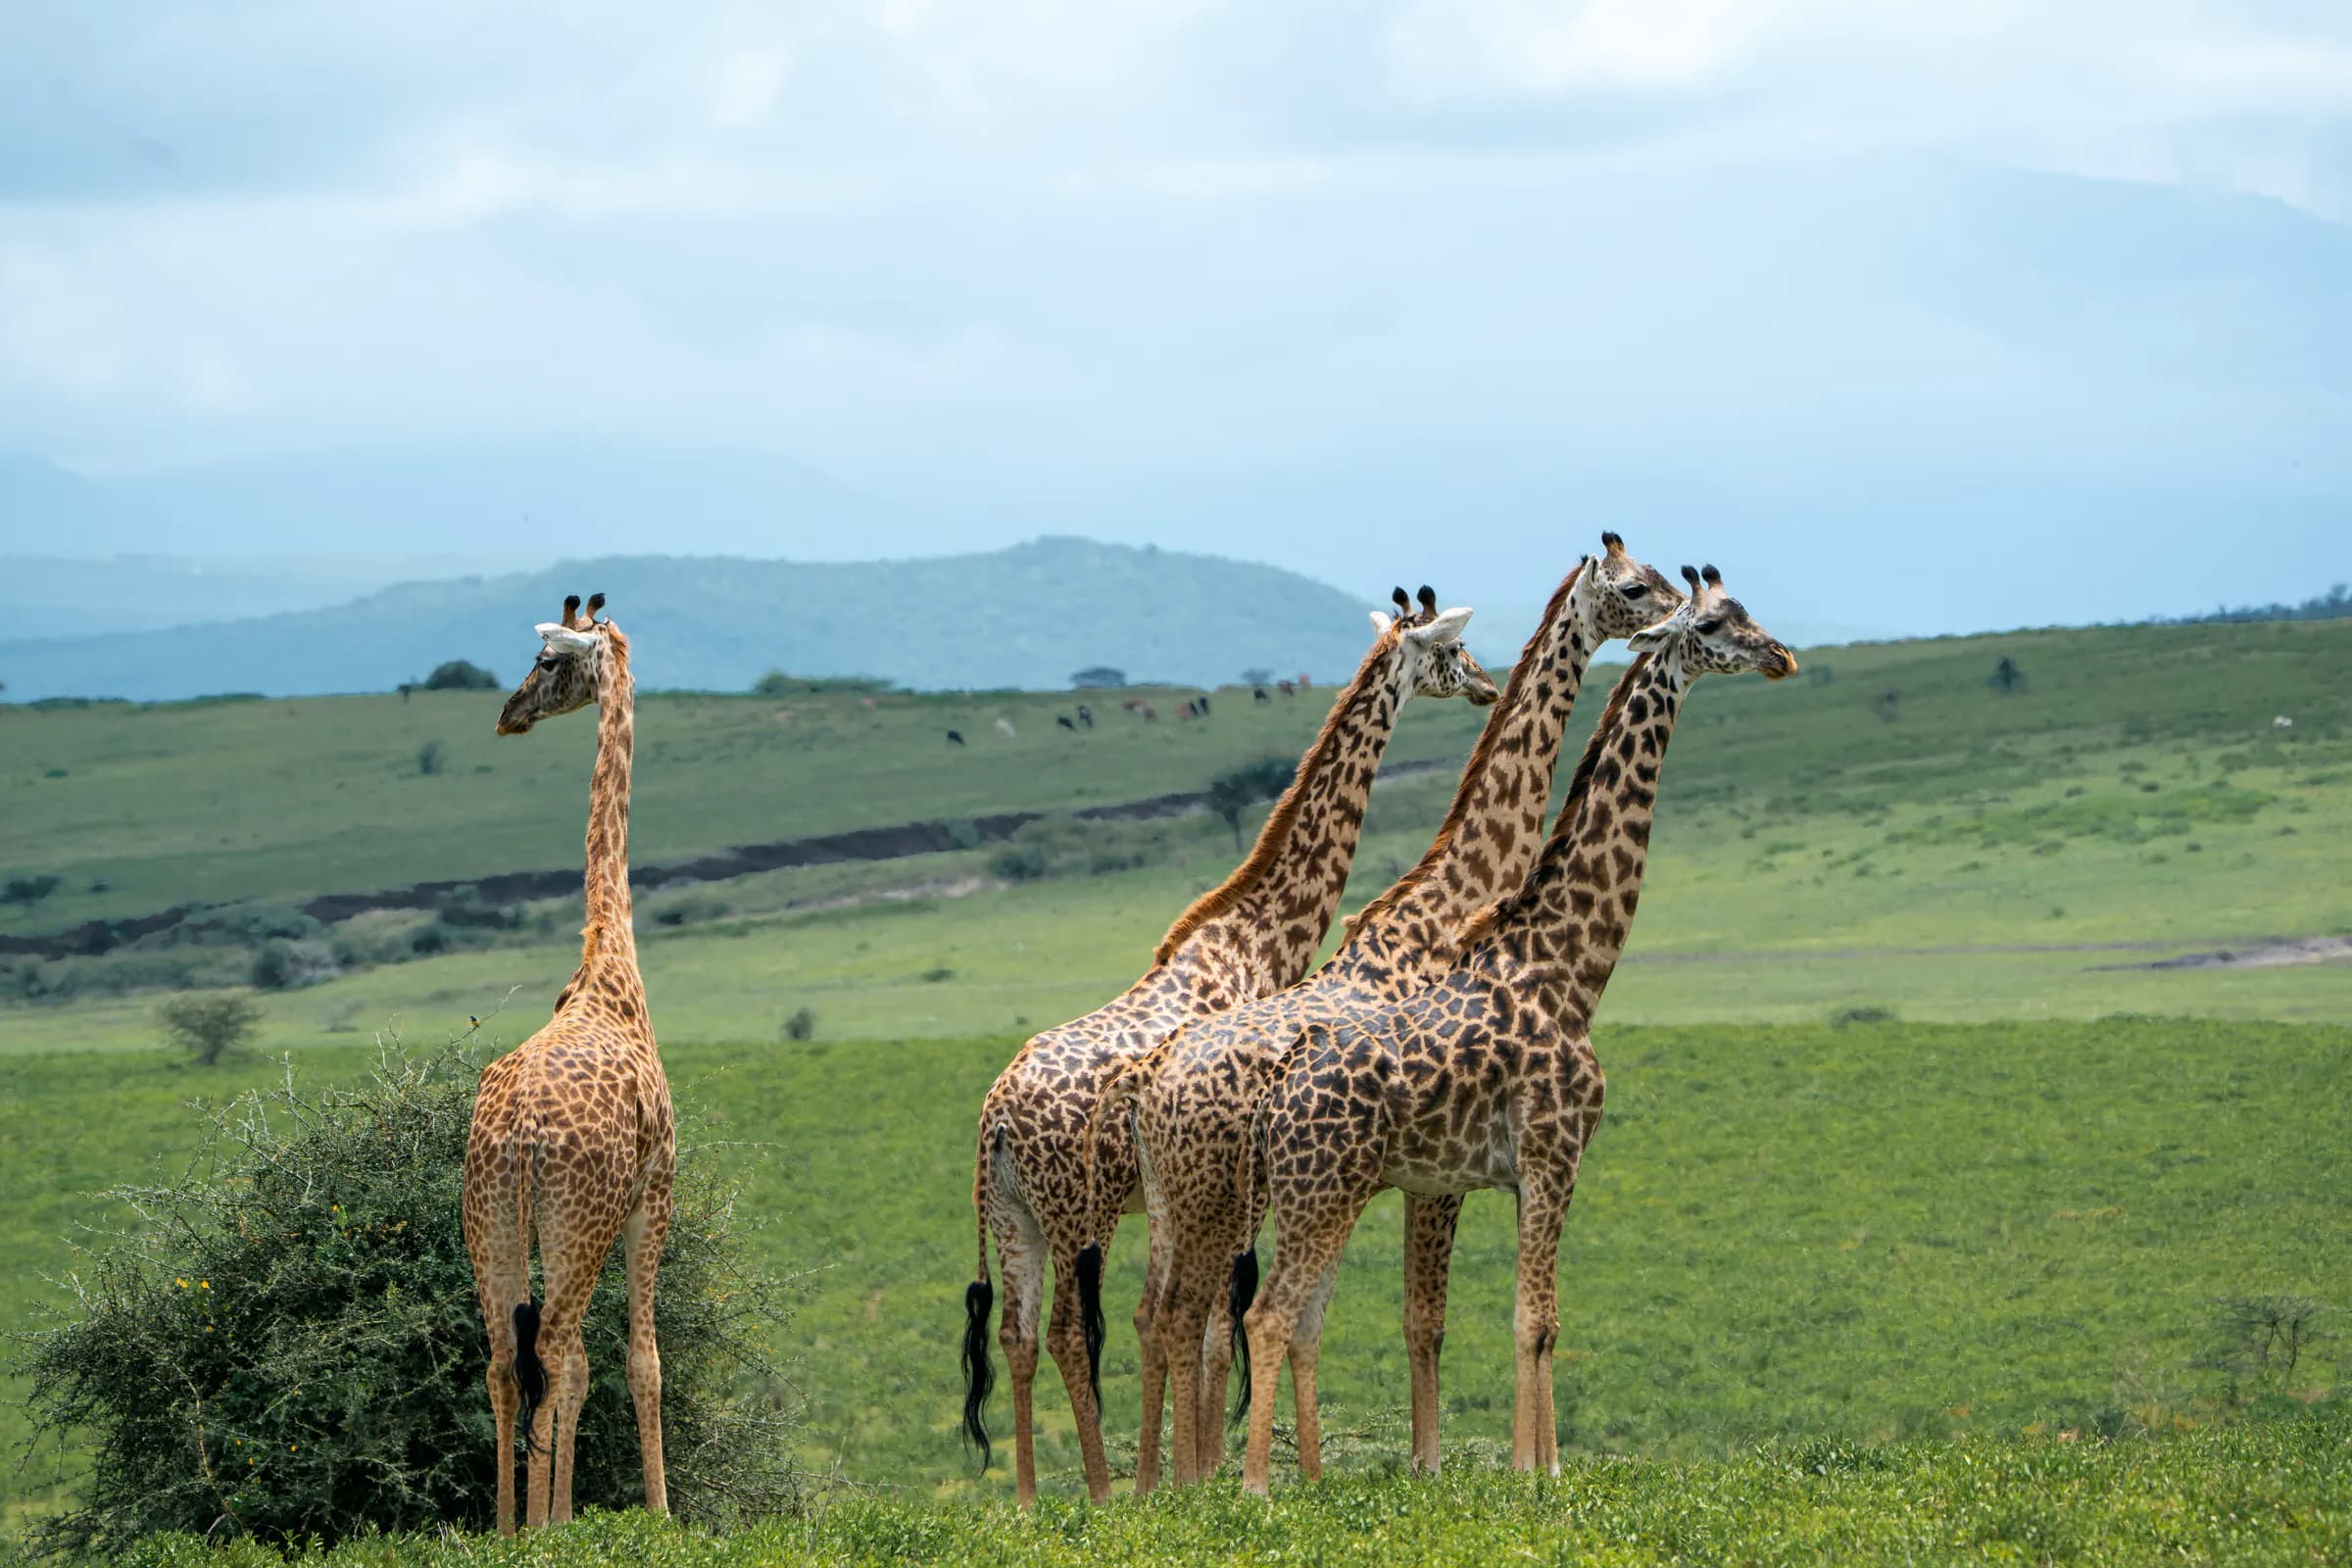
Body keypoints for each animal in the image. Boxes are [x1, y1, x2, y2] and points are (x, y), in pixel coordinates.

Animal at [961, 589, 1499, 1505]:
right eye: (1453, 649)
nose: (1488, 688)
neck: (1258, 936)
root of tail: (996, 1117)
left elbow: (1194, 1319)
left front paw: (1193, 1473)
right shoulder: (1232, 1176)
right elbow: (1216, 1323)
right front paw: (1206, 1477)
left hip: (1014, 1211)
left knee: (1019, 1335)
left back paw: (1031, 1503)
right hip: (1073, 1211)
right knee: (1071, 1331)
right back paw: (1101, 1492)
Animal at [1094, 534, 1684, 1490]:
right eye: (1636, 587)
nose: (1482, 681)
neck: (1448, 906)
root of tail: (1154, 1082)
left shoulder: (1401, 1173)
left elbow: (1365, 1320)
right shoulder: (1431, 1174)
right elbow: (1422, 1319)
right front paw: (1437, 1465)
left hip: (1190, 1199)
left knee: (1167, 1314)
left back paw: (1163, 1484)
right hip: (1223, 1195)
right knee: (1205, 1317)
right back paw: (1200, 1481)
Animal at [1235, 565, 1796, 1494]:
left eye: (1748, 607)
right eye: (1715, 623)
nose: (1782, 655)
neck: (1570, 967)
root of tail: (1275, 1097)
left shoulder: (1518, 1172)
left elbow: (1528, 1322)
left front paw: (1531, 1465)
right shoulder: (1552, 1153)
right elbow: (1536, 1320)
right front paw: (1539, 1475)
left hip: (1317, 1195)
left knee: (1277, 1315)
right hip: (1320, 1193)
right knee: (1267, 1315)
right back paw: (1256, 1490)